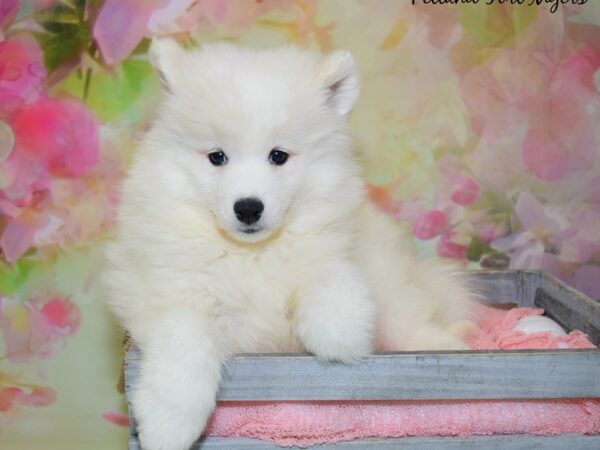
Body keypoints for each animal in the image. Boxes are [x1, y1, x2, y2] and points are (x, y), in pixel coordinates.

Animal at [105, 39, 476, 450]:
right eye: (217, 157)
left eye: (278, 156)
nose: (248, 207)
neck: (251, 254)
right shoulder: (165, 293)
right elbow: (186, 341)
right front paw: (168, 425)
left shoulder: (336, 249)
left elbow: (329, 276)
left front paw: (338, 332)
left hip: (393, 288)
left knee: (413, 324)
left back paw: (455, 349)